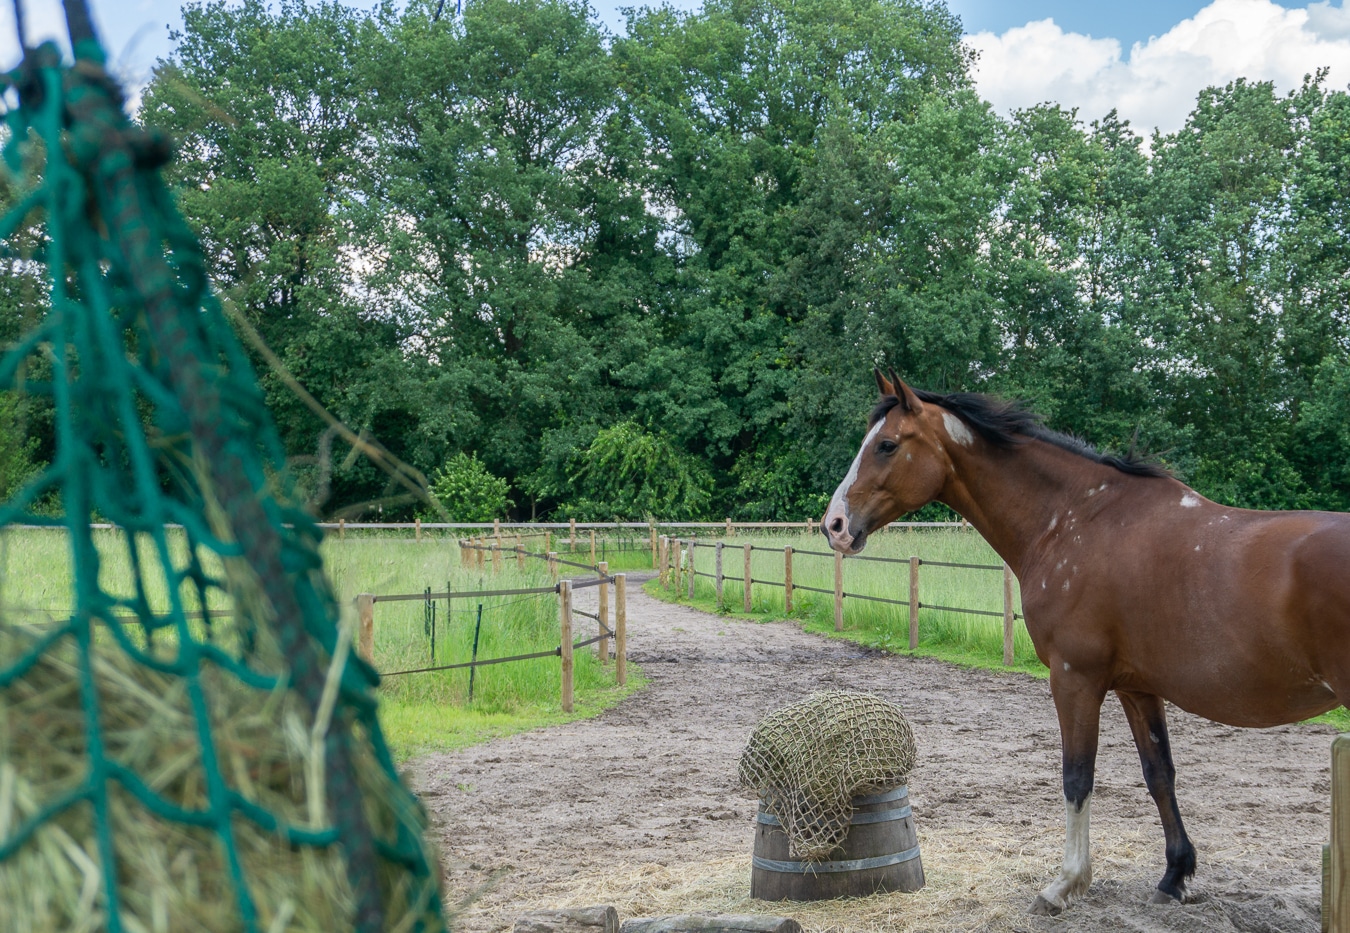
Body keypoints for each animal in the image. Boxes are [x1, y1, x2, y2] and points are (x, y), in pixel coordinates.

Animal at [823, 369, 1350, 915]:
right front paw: (1174, 875)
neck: (1075, 520)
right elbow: (1159, 774)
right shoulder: (1138, 689)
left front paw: (1065, 883)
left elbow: (1077, 777)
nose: (833, 525)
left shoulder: (1075, 679)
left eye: (886, 445)